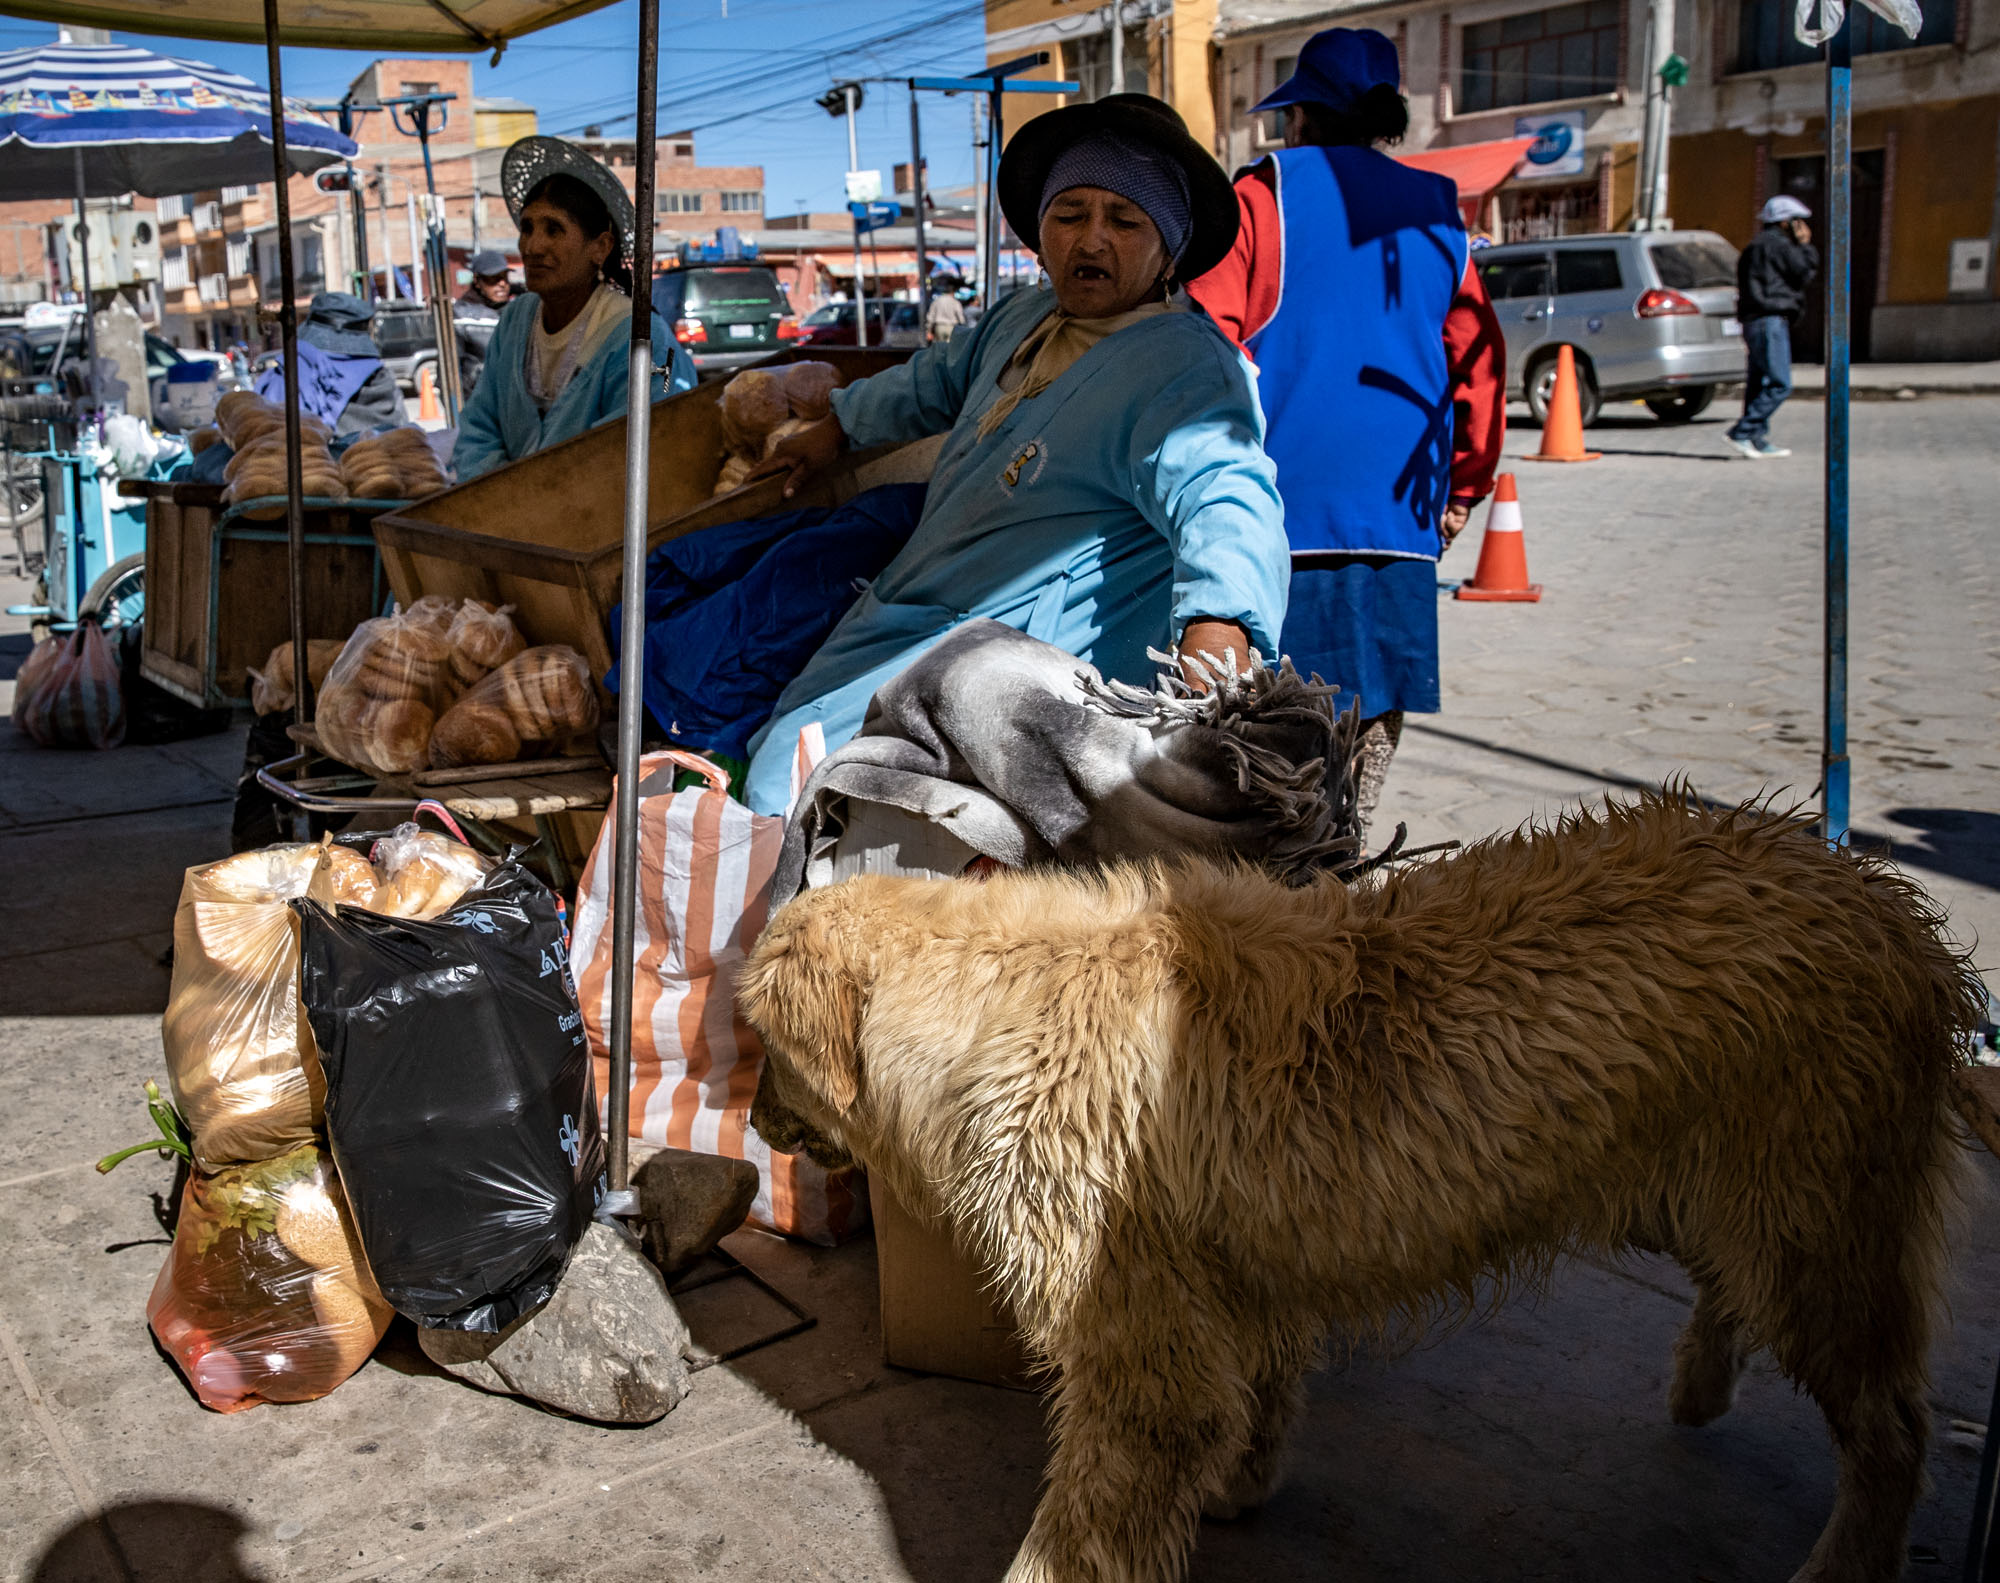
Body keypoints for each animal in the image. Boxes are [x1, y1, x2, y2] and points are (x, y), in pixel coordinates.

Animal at [740, 791, 1984, 1583]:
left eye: (758, 1044)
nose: (750, 1120)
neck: (987, 984)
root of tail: (1888, 912)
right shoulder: (1229, 1283)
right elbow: (1258, 1390)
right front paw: (1239, 1483)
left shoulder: (1138, 1356)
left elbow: (1091, 1518)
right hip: (1729, 1187)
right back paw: (1700, 1379)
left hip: (1814, 1219)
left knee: (1890, 1427)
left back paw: (1844, 1558)